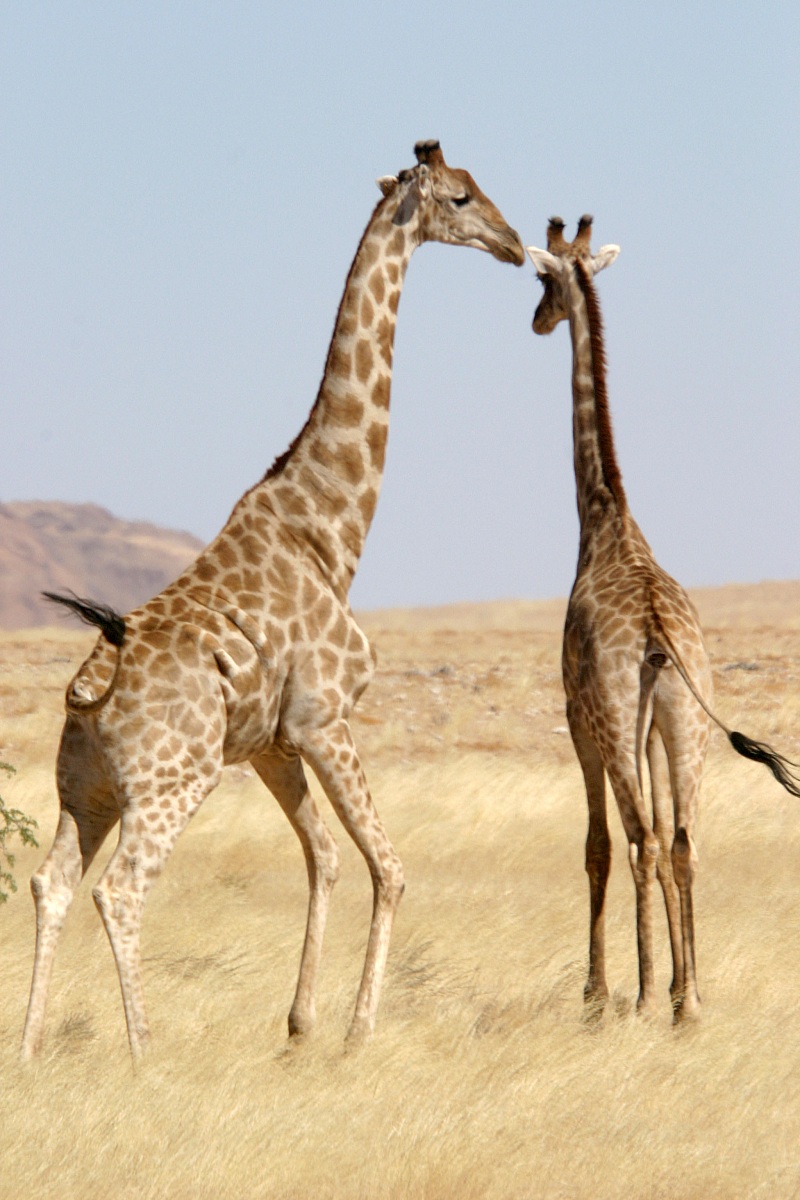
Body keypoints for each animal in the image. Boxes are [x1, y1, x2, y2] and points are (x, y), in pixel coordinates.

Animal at [21, 141, 524, 1060]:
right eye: (463, 198)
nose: (513, 245)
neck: (329, 528)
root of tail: (90, 688)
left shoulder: (271, 744)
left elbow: (324, 859)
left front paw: (300, 1026)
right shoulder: (327, 717)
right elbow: (387, 866)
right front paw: (357, 1032)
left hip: (87, 791)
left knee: (52, 884)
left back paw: (32, 1049)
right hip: (171, 784)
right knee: (122, 893)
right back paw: (145, 1055)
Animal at [526, 216, 800, 1020]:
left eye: (542, 279)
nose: (537, 321)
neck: (605, 519)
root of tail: (654, 636)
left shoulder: (579, 715)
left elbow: (599, 845)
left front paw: (599, 994)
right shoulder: (651, 726)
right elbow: (657, 837)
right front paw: (676, 983)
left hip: (619, 719)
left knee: (643, 837)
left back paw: (646, 998)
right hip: (685, 720)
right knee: (682, 838)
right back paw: (688, 1000)